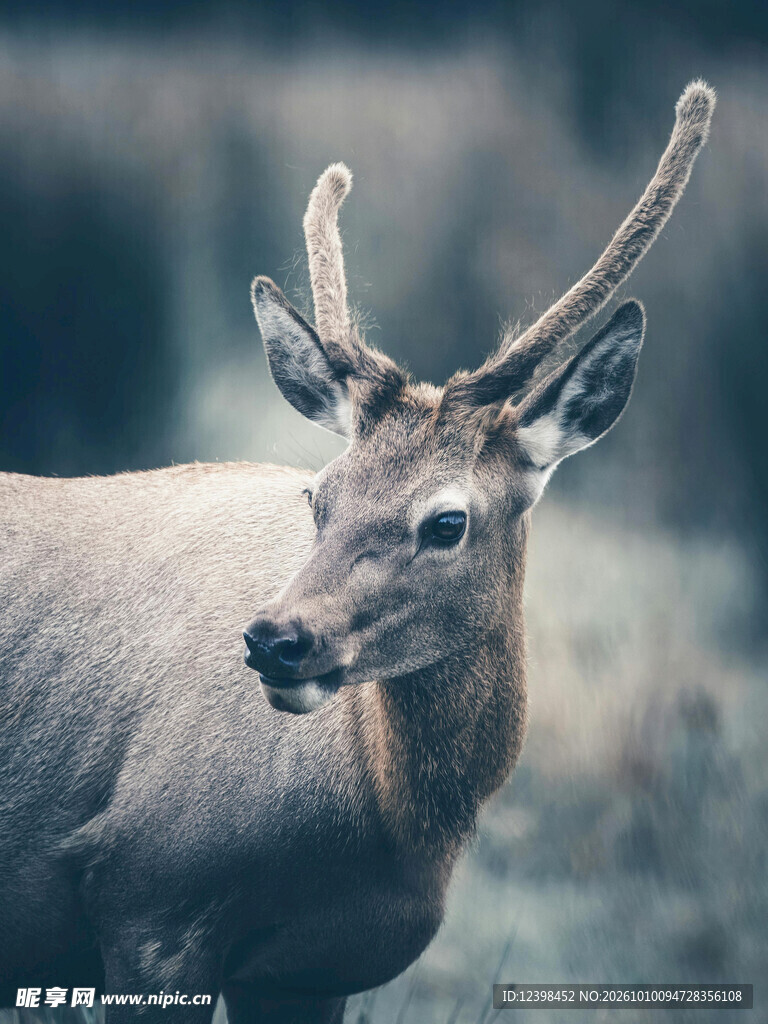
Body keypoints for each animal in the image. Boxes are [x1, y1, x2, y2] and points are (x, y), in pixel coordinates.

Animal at [0, 81, 714, 1023]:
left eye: (446, 522)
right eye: (318, 495)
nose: (275, 639)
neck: (390, 831)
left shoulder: (310, 969)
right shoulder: (145, 887)